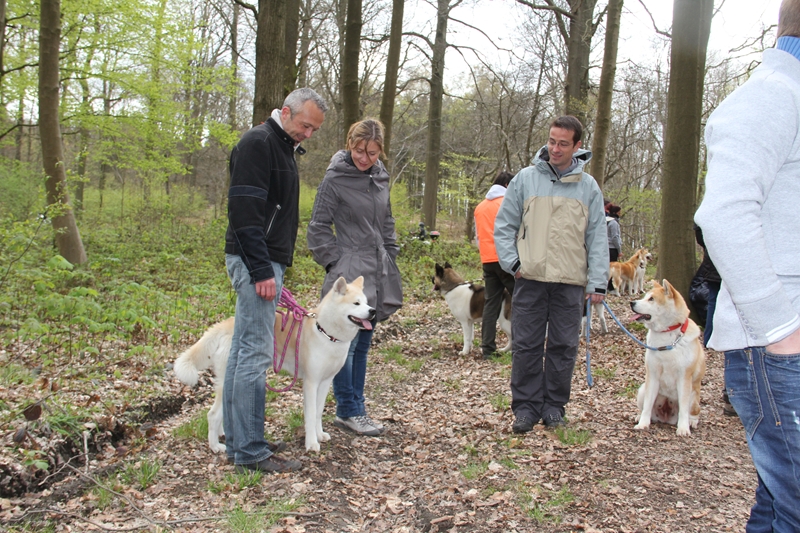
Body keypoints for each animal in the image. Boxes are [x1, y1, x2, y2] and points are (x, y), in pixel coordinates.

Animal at [175, 276, 376, 450]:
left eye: (366, 302)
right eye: (356, 303)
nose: (373, 311)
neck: (326, 332)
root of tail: (225, 325)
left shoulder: (325, 382)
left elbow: (318, 412)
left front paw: (320, 435)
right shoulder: (310, 383)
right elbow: (310, 415)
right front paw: (311, 443)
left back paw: (223, 434)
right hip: (227, 381)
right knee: (212, 415)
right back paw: (215, 446)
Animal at [632, 278, 708, 436]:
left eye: (651, 299)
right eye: (645, 296)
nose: (632, 303)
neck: (667, 335)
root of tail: (666, 417)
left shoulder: (684, 378)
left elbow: (684, 410)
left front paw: (683, 429)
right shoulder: (652, 375)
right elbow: (647, 405)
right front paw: (643, 424)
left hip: (693, 395)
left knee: (693, 411)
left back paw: (691, 422)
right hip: (642, 389)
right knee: (645, 407)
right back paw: (638, 415)